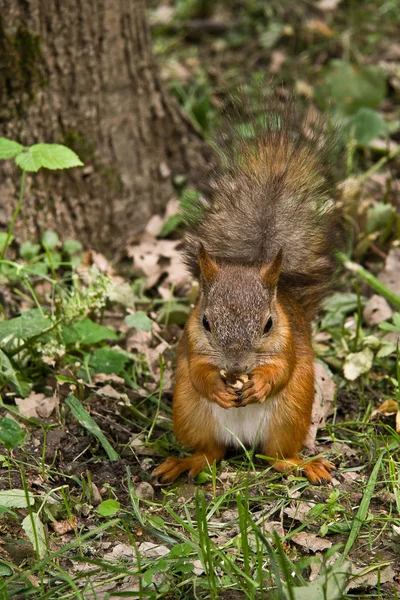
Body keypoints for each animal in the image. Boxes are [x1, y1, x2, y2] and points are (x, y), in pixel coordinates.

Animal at [153, 95, 344, 488]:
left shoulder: (287, 343)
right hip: (190, 413)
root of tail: (242, 440)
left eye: (269, 323)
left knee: (276, 457)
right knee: (211, 451)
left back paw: (302, 465)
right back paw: (186, 462)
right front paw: (216, 384)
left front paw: (259, 384)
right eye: (206, 322)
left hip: (289, 415)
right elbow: (197, 370)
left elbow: (283, 369)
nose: (237, 366)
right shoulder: (191, 342)